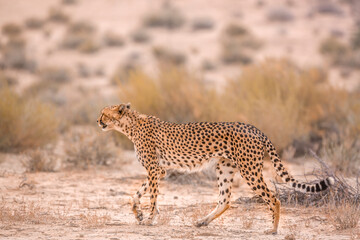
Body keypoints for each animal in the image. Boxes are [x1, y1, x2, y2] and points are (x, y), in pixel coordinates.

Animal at [96, 103, 334, 234]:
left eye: (104, 114)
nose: (98, 121)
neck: (130, 125)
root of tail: (254, 127)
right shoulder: (160, 170)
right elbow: (136, 194)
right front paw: (138, 214)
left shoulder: (154, 170)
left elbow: (152, 197)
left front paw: (150, 219)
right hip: (225, 168)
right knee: (225, 200)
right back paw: (203, 221)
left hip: (249, 170)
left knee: (273, 197)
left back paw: (273, 229)